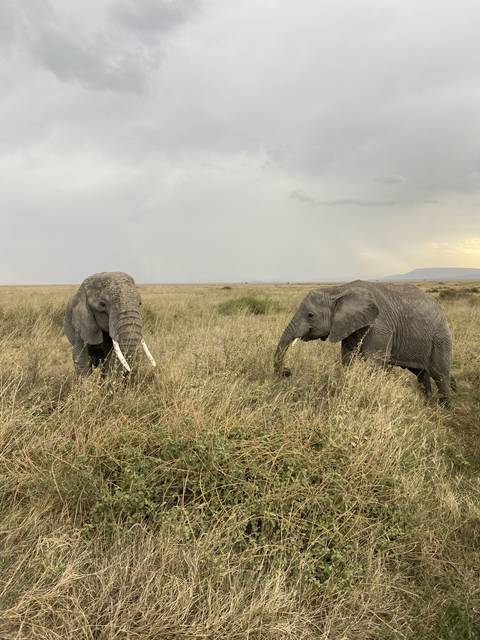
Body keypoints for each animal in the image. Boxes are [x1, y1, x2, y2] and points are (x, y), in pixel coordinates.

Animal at [274, 280, 454, 405]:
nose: (287, 371)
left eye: (311, 315)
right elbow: (348, 359)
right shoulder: (349, 326)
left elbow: (373, 364)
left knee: (439, 374)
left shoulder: (379, 326)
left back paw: (444, 410)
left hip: (440, 337)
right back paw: (427, 404)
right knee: (421, 374)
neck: (337, 290)